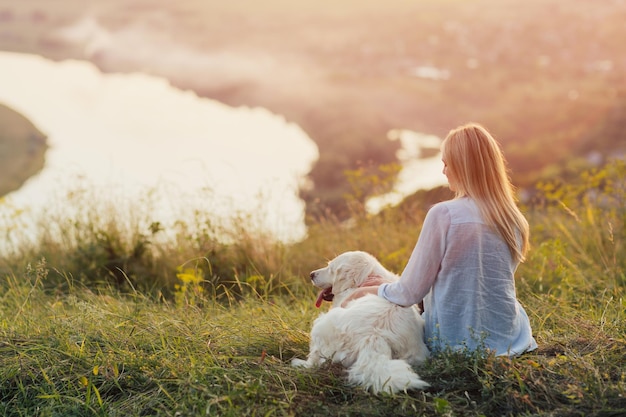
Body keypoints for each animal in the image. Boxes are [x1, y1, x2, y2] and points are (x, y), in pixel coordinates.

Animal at [288, 250, 426, 394]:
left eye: (331, 269)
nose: (311, 274)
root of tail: (373, 337)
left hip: (320, 324)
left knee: (314, 360)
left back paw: (299, 363)